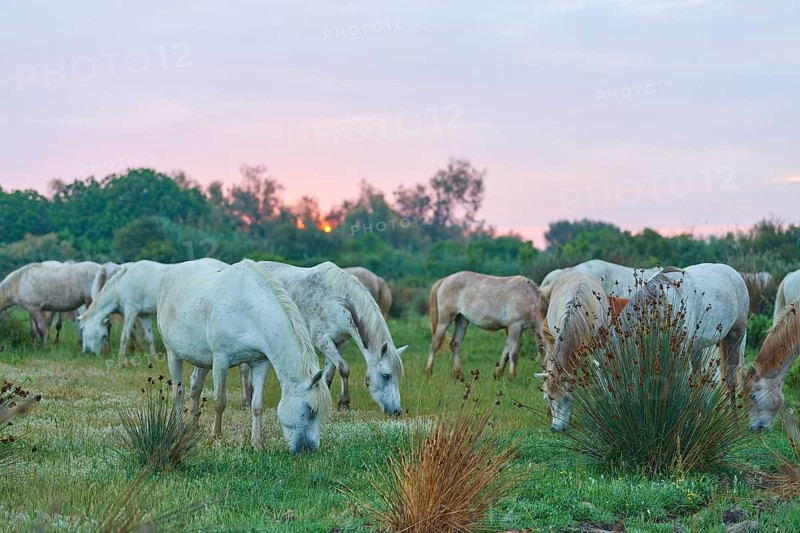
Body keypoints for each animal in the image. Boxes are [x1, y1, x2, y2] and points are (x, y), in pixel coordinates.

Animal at [158, 259, 331, 453]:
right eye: (310, 410)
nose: (310, 450)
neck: (249, 310)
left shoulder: (260, 363)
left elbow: (257, 405)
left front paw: (257, 444)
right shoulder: (221, 360)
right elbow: (219, 401)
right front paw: (215, 438)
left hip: (202, 359)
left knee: (196, 386)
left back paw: (192, 429)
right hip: (173, 354)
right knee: (178, 393)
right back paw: (180, 431)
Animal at [237, 261, 406, 413]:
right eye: (386, 376)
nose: (396, 411)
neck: (338, 301)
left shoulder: (339, 343)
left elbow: (329, 374)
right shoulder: (322, 340)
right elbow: (344, 368)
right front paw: (344, 403)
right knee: (244, 368)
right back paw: (246, 401)